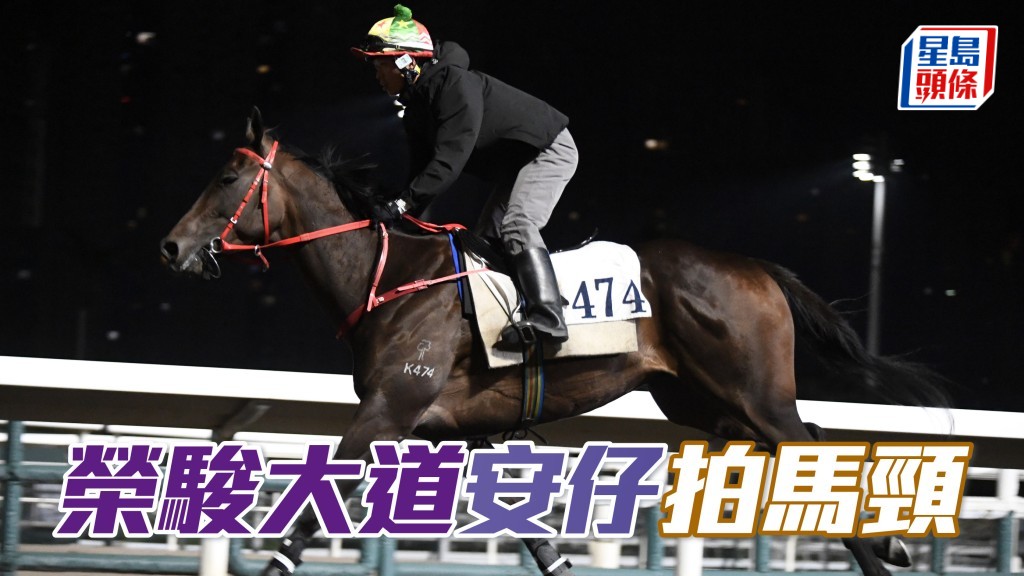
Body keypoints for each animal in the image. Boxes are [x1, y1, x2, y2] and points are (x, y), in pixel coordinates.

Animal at [161, 108, 941, 576]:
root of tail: (757, 269)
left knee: (813, 451)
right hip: (708, 405)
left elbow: (309, 510)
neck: (392, 279)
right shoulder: (462, 430)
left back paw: (883, 550)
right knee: (813, 444)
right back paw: (890, 540)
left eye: (227, 176)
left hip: (753, 397)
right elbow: (536, 537)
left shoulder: (388, 412)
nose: (171, 247)